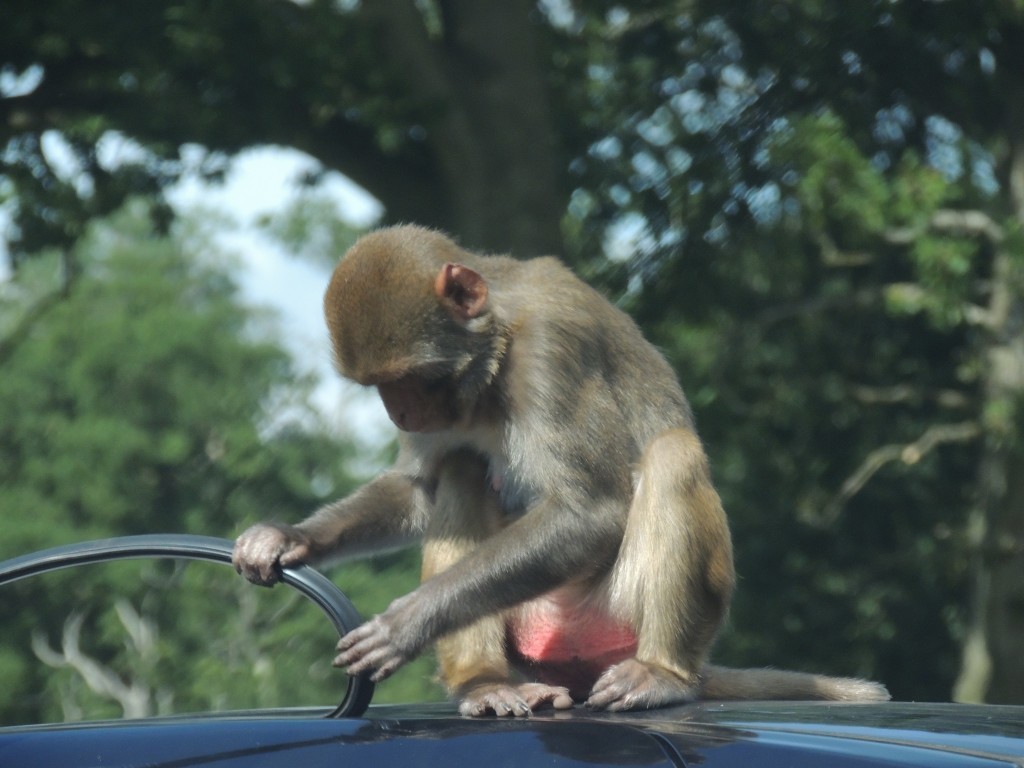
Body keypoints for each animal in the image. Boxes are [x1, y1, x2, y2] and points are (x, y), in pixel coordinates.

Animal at [232, 225, 888, 720]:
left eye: (412, 379)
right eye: (382, 388)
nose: (400, 413)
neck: (496, 353)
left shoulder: (551, 350)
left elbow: (592, 510)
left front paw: (407, 622)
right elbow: (418, 487)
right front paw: (288, 537)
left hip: (621, 610)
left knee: (673, 455)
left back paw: (663, 673)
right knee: (463, 467)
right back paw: (483, 682)